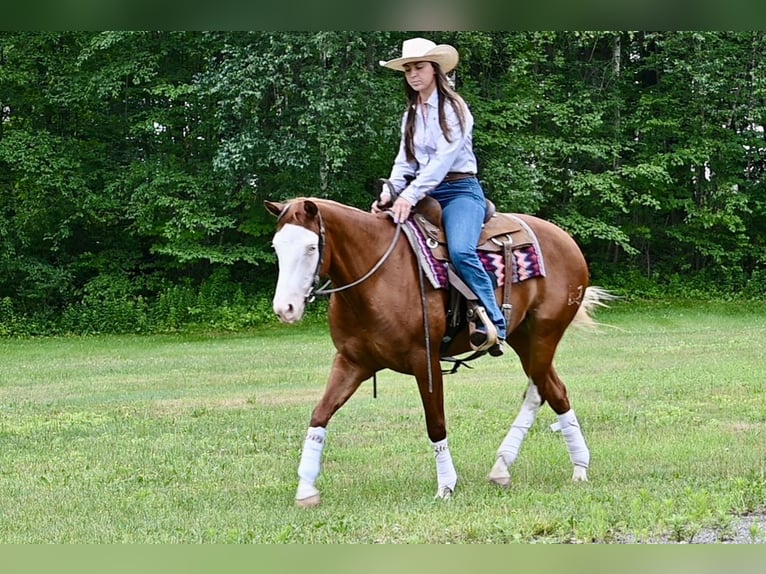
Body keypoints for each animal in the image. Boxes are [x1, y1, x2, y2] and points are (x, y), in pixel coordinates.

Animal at [265, 196, 611, 507]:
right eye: (277, 247)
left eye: (311, 248)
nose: (285, 308)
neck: (377, 277)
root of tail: (567, 241)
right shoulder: (352, 363)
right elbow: (320, 415)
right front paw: (306, 489)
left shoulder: (425, 362)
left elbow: (436, 424)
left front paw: (446, 485)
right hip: (524, 339)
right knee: (547, 390)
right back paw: (510, 467)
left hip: (543, 337)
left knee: (549, 392)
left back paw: (577, 467)